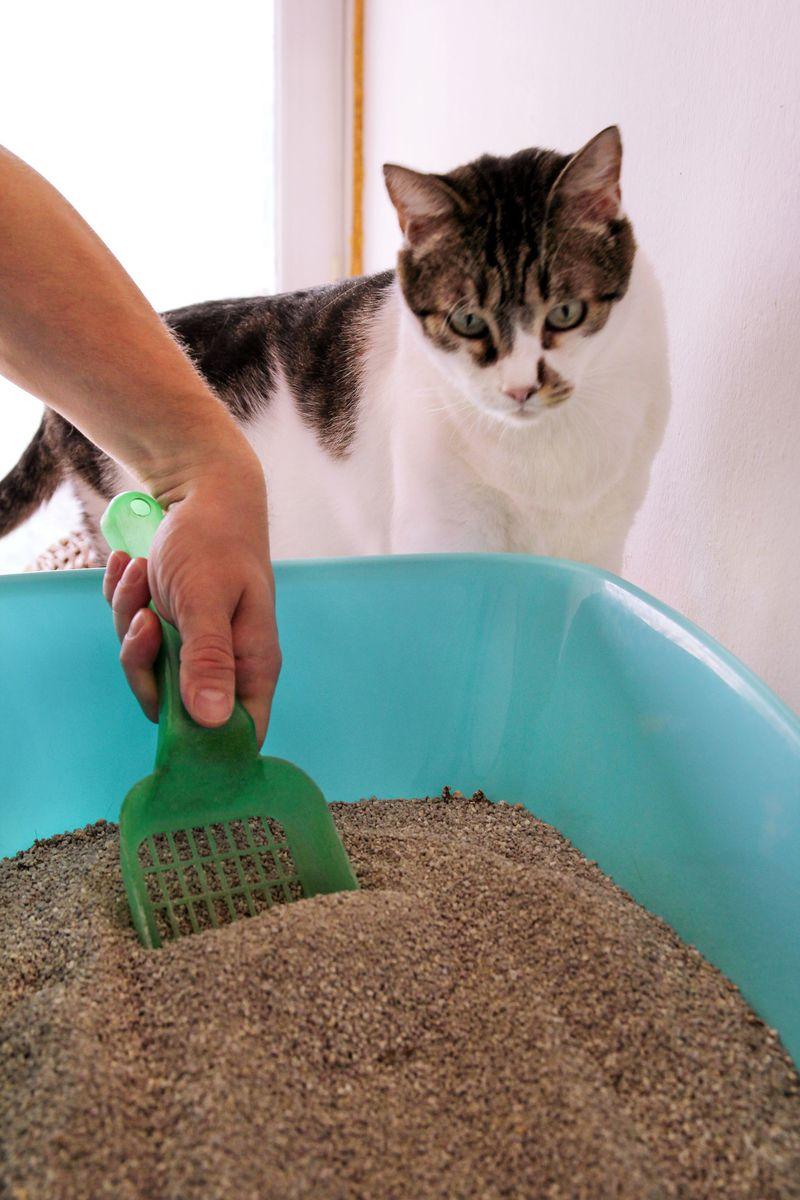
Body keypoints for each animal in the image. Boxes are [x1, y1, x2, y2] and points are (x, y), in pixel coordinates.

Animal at [0, 124, 671, 573]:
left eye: (566, 312)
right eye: (467, 321)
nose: (521, 387)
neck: (542, 460)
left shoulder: (599, 540)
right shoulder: (441, 530)